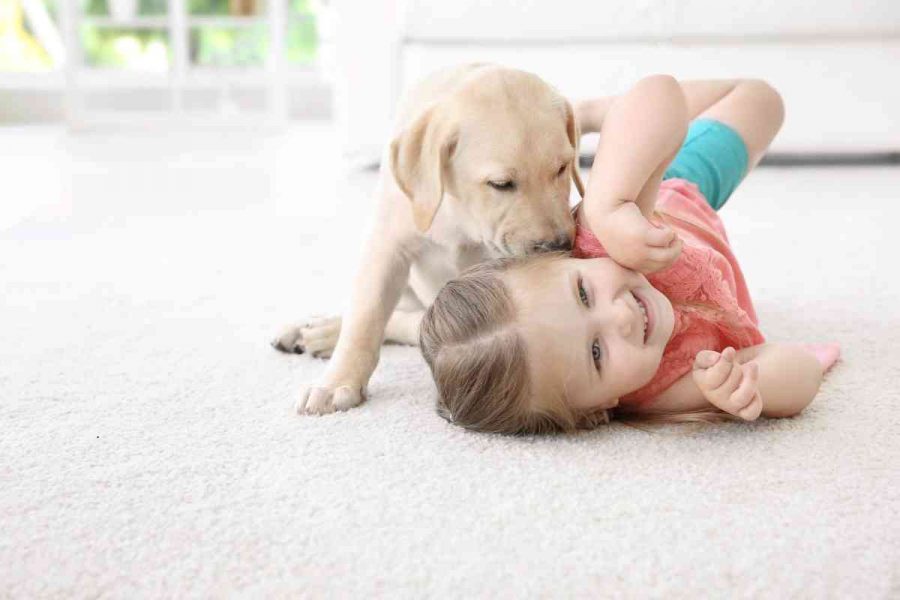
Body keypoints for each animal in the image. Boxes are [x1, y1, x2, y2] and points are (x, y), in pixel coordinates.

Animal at [274, 63, 584, 414]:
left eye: (562, 168)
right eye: (501, 184)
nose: (560, 247)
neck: (461, 216)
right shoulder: (387, 245)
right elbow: (366, 314)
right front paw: (337, 381)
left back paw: (320, 333)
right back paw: (311, 329)